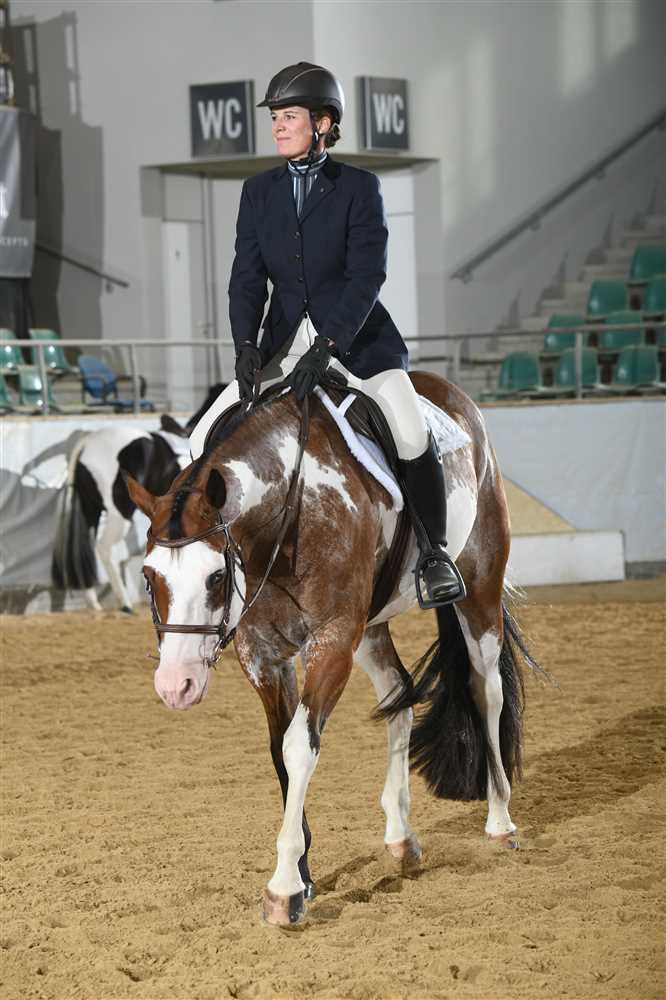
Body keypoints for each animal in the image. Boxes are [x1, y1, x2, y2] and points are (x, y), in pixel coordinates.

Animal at [52, 415, 191, 611]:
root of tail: (86, 444)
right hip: (120, 514)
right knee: (103, 548)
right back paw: (125, 602)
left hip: (91, 511)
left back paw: (94, 601)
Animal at [126, 371, 537, 926]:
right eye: (150, 577)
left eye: (215, 577)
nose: (176, 686)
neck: (291, 509)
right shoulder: (264, 654)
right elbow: (279, 751)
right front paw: (302, 873)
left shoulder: (333, 640)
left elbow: (300, 748)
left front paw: (283, 889)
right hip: (371, 628)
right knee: (398, 694)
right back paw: (400, 838)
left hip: (479, 587)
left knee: (485, 688)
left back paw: (499, 821)